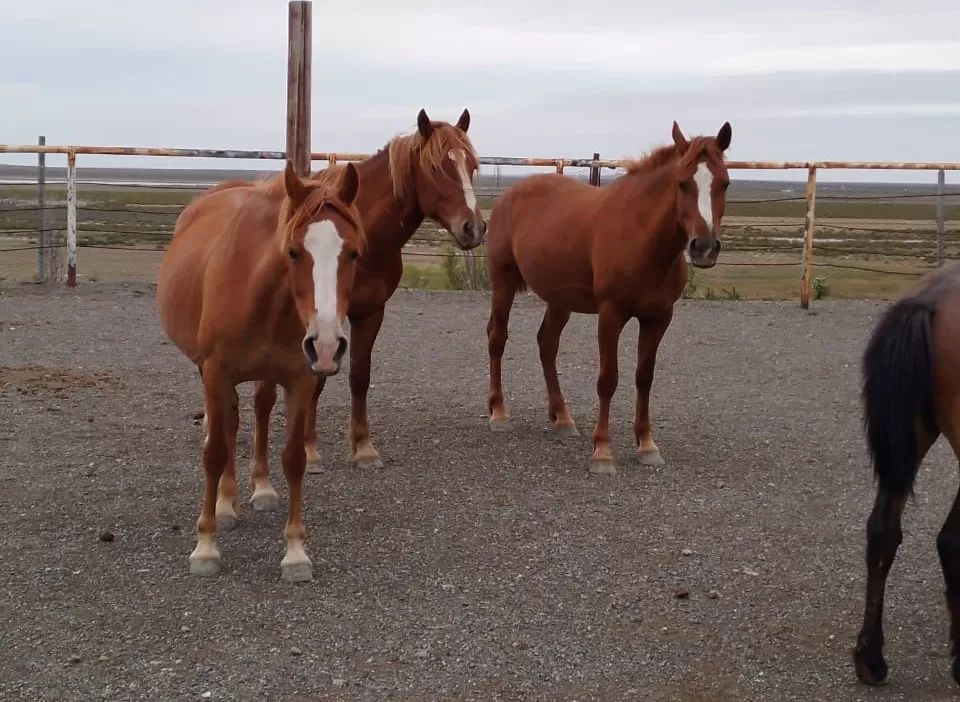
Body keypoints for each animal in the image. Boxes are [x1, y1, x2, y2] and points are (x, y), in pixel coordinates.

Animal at [155, 160, 365, 582]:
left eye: (352, 253)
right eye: (294, 252)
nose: (327, 345)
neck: (261, 294)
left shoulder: (300, 379)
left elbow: (294, 458)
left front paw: (296, 552)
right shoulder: (216, 373)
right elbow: (215, 452)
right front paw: (205, 546)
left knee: (257, 412)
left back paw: (255, 491)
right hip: (210, 375)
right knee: (227, 429)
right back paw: (224, 503)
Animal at [484, 120, 732, 475]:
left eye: (725, 183)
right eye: (682, 183)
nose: (705, 248)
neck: (643, 238)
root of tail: (510, 194)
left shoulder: (658, 318)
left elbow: (644, 378)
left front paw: (646, 445)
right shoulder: (610, 314)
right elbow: (608, 379)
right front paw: (602, 451)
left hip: (560, 300)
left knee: (547, 344)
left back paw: (562, 418)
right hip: (503, 283)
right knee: (497, 338)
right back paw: (499, 413)